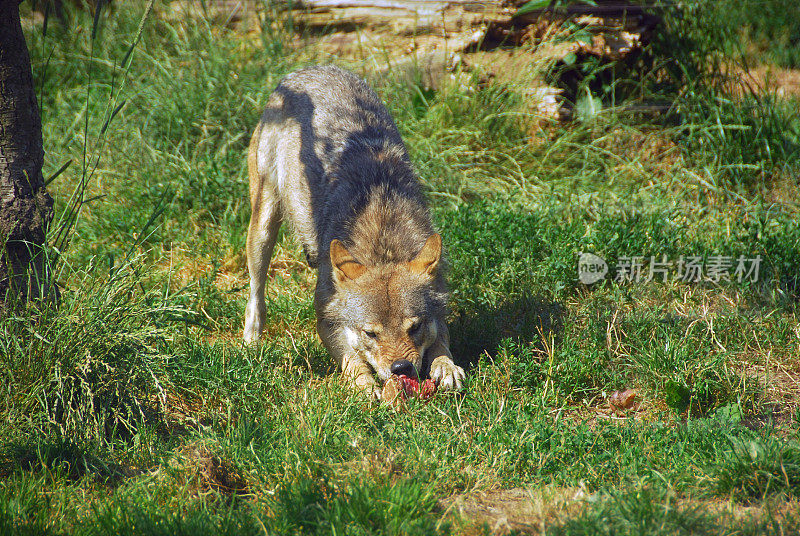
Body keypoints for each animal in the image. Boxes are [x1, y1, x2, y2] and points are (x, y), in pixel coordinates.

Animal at [247, 63, 466, 398]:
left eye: (414, 327)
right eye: (370, 333)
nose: (401, 368)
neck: (382, 240)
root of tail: (307, 69)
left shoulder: (438, 308)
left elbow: (441, 342)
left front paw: (446, 367)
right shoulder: (327, 319)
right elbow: (352, 360)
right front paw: (364, 384)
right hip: (263, 224)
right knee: (256, 289)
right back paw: (251, 340)